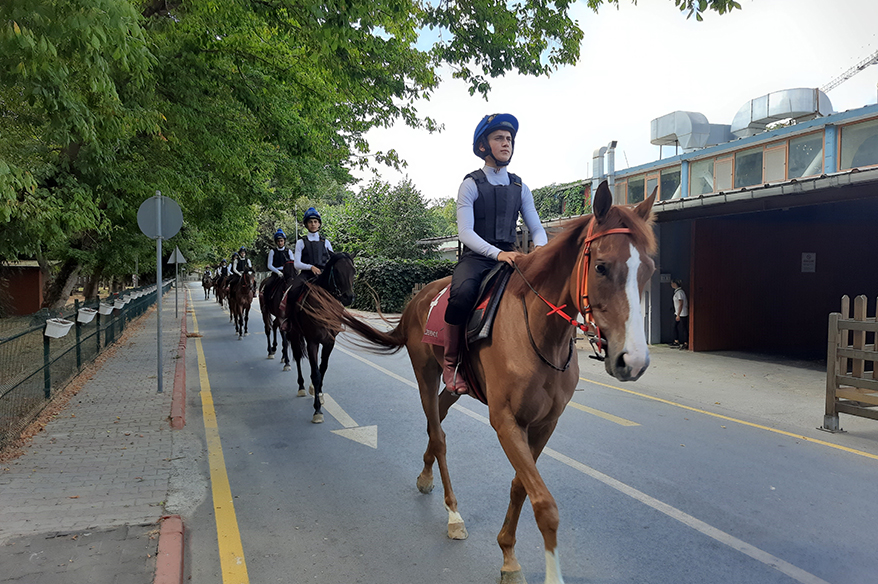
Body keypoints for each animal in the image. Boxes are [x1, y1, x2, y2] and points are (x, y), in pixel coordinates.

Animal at [288, 253, 360, 422]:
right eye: (337, 271)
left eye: (353, 271)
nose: (348, 297)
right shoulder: (312, 342)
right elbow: (315, 374)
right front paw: (317, 410)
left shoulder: (329, 342)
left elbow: (323, 368)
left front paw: (319, 393)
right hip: (295, 333)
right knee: (297, 357)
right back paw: (301, 386)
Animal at [306, 184, 656, 584]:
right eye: (601, 267)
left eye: (649, 269)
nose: (633, 360)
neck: (540, 331)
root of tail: (416, 300)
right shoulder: (505, 421)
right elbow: (544, 503)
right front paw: (541, 570)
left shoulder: (544, 424)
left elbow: (521, 486)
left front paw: (508, 554)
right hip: (425, 374)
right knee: (439, 435)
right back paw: (453, 513)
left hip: (453, 387)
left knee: (436, 422)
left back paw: (425, 476)